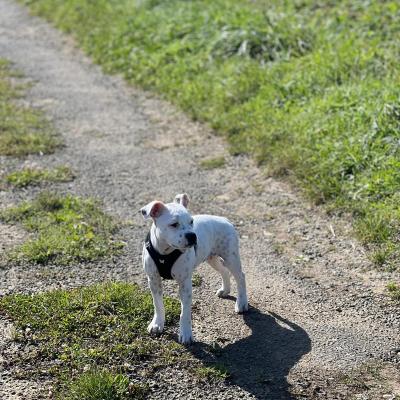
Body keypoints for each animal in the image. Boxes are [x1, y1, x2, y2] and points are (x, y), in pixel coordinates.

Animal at [141, 194, 247, 344]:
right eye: (174, 224)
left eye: (191, 221)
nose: (192, 235)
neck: (165, 251)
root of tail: (224, 219)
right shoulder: (153, 280)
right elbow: (157, 304)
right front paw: (157, 324)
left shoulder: (185, 284)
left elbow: (185, 312)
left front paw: (186, 334)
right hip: (212, 258)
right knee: (224, 271)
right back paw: (225, 290)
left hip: (231, 257)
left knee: (241, 277)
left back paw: (242, 303)